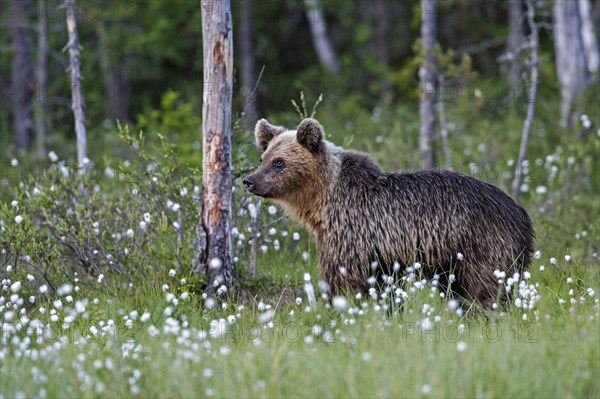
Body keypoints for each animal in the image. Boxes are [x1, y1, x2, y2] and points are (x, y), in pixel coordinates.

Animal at [243, 119, 536, 306]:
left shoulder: (352, 233)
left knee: (486, 288)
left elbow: (345, 279)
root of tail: (523, 216)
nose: (249, 180)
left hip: (482, 244)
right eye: (262, 158)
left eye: (279, 162)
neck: (324, 201)